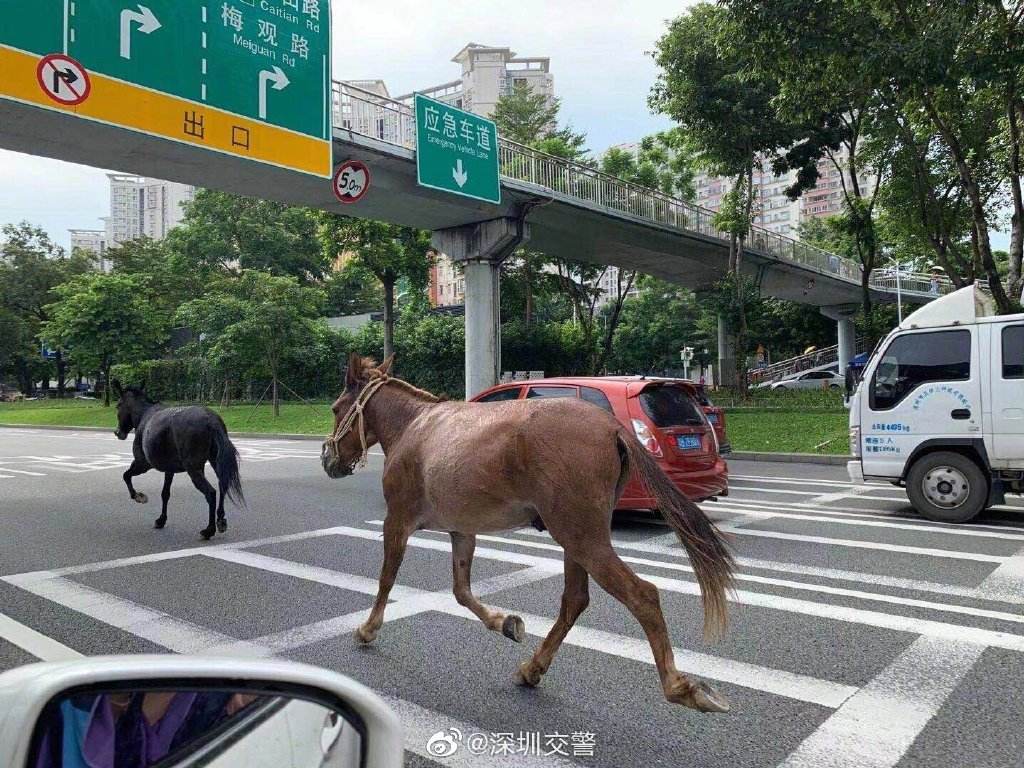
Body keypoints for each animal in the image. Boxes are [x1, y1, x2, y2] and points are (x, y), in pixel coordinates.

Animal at [112, 382, 245, 540]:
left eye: (118, 405)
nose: (118, 432)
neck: (143, 415)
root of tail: (211, 421)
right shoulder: (169, 469)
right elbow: (165, 493)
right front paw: (161, 519)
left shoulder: (142, 463)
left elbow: (126, 475)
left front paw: (138, 496)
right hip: (214, 461)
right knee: (223, 485)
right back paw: (221, 520)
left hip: (193, 468)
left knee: (211, 493)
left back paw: (209, 529)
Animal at [323, 358, 733, 712]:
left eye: (335, 408)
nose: (329, 460)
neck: (415, 427)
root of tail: (612, 427)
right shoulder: (461, 529)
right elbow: (461, 591)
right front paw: (504, 623)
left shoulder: (397, 521)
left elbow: (387, 580)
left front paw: (368, 629)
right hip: (575, 537)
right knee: (575, 600)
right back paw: (533, 668)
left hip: (582, 537)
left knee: (641, 594)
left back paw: (679, 686)